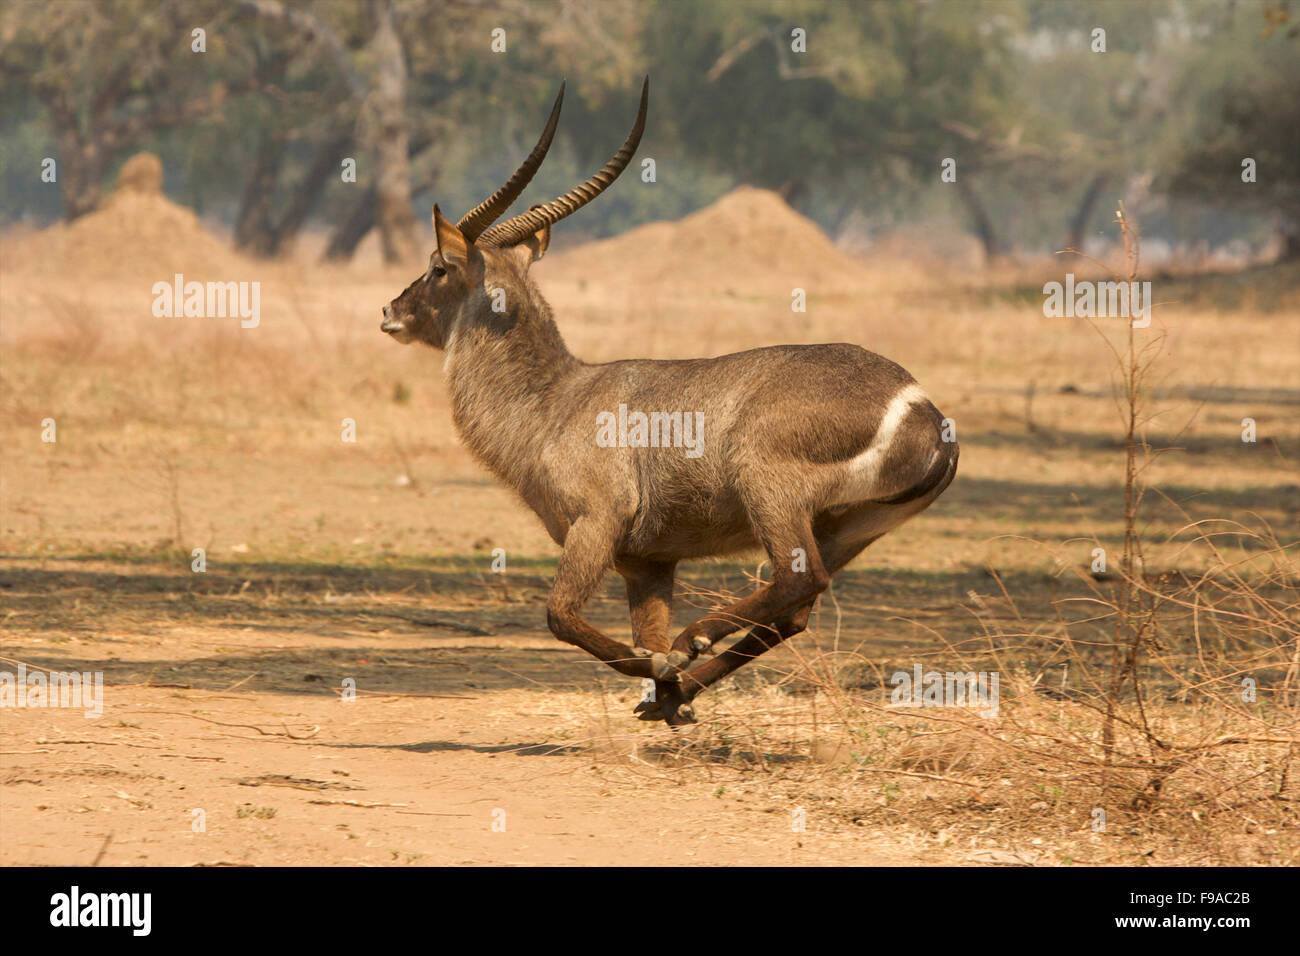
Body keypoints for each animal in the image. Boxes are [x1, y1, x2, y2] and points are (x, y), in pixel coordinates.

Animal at [377, 80, 956, 723]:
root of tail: (924, 410)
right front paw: (664, 687)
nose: (390, 311)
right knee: (798, 608)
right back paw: (679, 688)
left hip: (769, 488)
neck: (554, 400)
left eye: (437, 266)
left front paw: (657, 668)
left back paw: (691, 644)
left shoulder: (596, 523)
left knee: (798, 581)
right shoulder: (648, 561)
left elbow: (562, 616)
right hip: (846, 529)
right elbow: (640, 627)